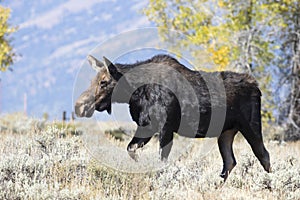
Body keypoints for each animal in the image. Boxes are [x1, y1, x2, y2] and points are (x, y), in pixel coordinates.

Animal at [74, 54, 270, 180]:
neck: (135, 93)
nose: (79, 106)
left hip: (251, 125)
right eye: (92, 81)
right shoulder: (146, 126)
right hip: (226, 132)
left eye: (103, 82)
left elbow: (161, 160)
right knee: (229, 162)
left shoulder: (166, 127)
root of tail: (257, 87)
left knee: (263, 155)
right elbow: (131, 149)